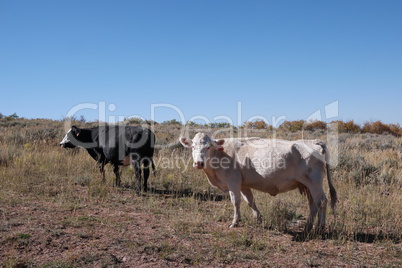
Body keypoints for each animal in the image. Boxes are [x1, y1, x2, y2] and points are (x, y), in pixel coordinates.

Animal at [181, 133, 338, 233]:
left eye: (208, 147)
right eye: (193, 147)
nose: (199, 163)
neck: (221, 154)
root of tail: (315, 141)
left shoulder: (233, 182)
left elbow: (235, 202)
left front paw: (234, 223)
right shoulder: (244, 185)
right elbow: (250, 201)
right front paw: (258, 219)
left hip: (315, 183)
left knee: (322, 201)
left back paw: (320, 228)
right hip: (307, 185)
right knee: (313, 205)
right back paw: (308, 227)